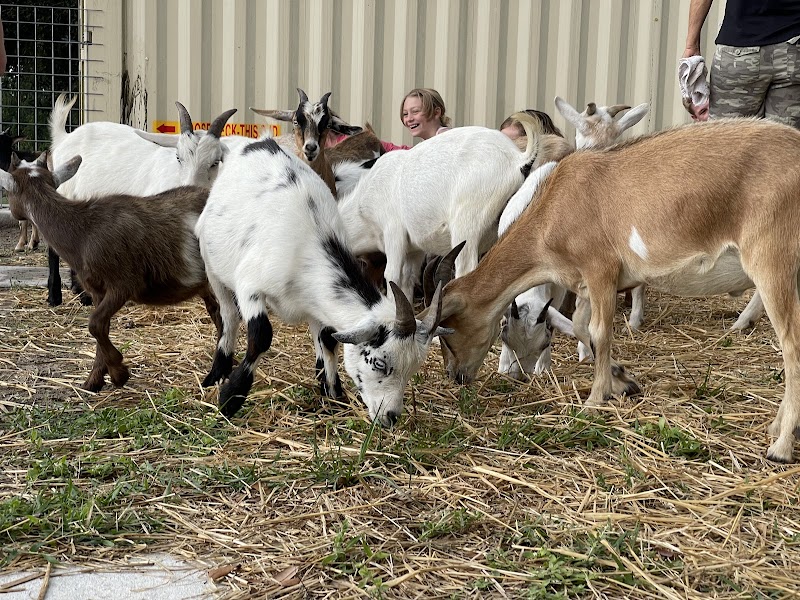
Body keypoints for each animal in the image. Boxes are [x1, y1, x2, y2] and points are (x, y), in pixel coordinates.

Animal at [0, 152, 222, 392]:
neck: (84, 233)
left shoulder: (123, 283)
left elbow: (95, 324)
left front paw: (118, 373)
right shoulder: (97, 289)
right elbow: (101, 328)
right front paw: (94, 380)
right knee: (219, 315)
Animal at [47, 94, 236, 307]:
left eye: (215, 162)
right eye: (178, 157)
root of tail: (65, 137)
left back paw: (81, 293)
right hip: (64, 190)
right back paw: (55, 295)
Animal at [195, 136, 449, 424]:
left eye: (413, 368)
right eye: (379, 363)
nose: (390, 416)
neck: (306, 248)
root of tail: (257, 142)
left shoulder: (319, 303)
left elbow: (328, 341)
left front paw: (334, 395)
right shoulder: (250, 287)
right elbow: (261, 335)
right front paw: (231, 396)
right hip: (211, 263)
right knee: (229, 315)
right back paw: (217, 373)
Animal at [425, 118, 800, 463]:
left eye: (448, 334)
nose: (456, 377)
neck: (557, 206)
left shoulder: (600, 268)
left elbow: (600, 332)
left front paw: (594, 400)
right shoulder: (584, 283)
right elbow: (580, 327)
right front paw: (622, 380)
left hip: (773, 260)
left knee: (791, 344)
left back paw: (781, 446)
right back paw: (776, 427)